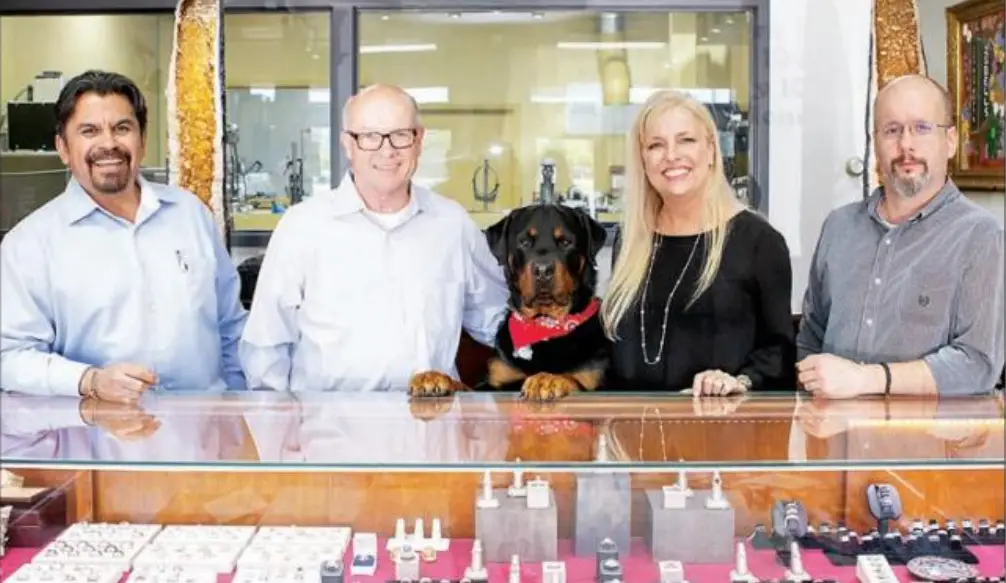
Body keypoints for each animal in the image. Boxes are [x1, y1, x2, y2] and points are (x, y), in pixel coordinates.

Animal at [406, 205, 603, 400]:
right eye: (524, 242)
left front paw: (548, 379)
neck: (542, 325)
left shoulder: (596, 380)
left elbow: (574, 380)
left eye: (566, 242)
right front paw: (433, 377)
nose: (543, 270)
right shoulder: (493, 383)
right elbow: (464, 386)